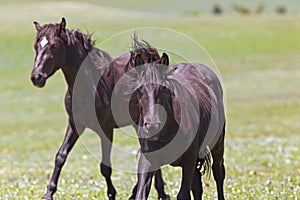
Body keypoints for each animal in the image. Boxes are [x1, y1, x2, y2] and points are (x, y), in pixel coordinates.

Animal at [30, 17, 169, 200]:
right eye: (36, 46)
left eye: (54, 45)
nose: (36, 77)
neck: (89, 86)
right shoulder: (75, 124)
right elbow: (60, 156)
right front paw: (48, 193)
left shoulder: (106, 129)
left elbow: (105, 167)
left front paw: (112, 194)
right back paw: (159, 192)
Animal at [127, 52, 226, 199]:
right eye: (139, 90)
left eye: (163, 88)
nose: (152, 126)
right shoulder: (147, 160)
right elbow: (141, 193)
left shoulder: (189, 159)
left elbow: (183, 194)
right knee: (197, 186)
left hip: (217, 143)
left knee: (218, 172)